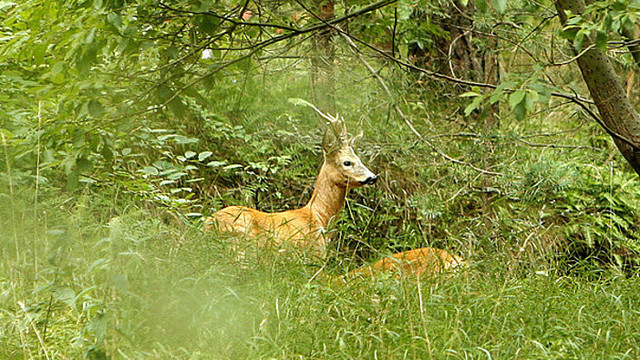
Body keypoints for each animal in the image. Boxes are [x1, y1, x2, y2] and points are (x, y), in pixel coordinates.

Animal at [204, 104, 376, 258]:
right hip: (241, 244)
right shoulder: (314, 254)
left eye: (360, 159)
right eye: (347, 162)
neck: (319, 217)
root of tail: (208, 226)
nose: (372, 177)